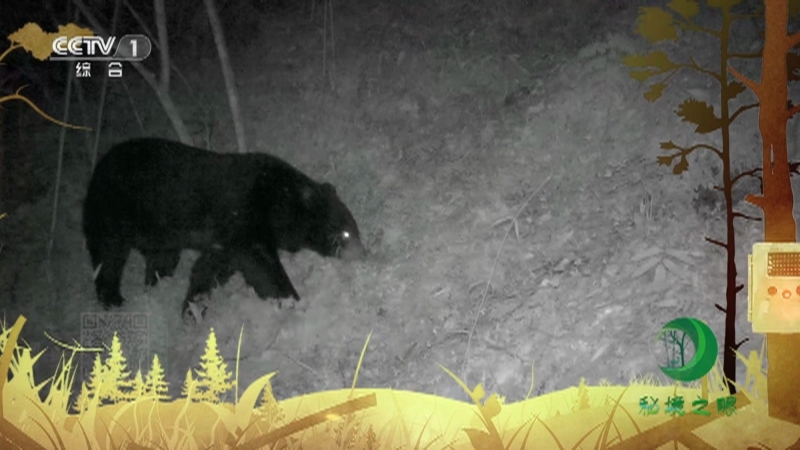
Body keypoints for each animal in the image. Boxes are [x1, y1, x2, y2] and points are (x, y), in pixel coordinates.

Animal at [82, 137, 364, 317]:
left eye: (354, 230)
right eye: (345, 232)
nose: (362, 253)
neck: (277, 199)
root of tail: (96, 170)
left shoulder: (224, 239)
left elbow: (211, 265)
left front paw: (193, 307)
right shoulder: (242, 216)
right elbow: (260, 263)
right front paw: (291, 300)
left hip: (159, 232)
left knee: (162, 259)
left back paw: (156, 286)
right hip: (112, 211)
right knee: (109, 256)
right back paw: (114, 300)